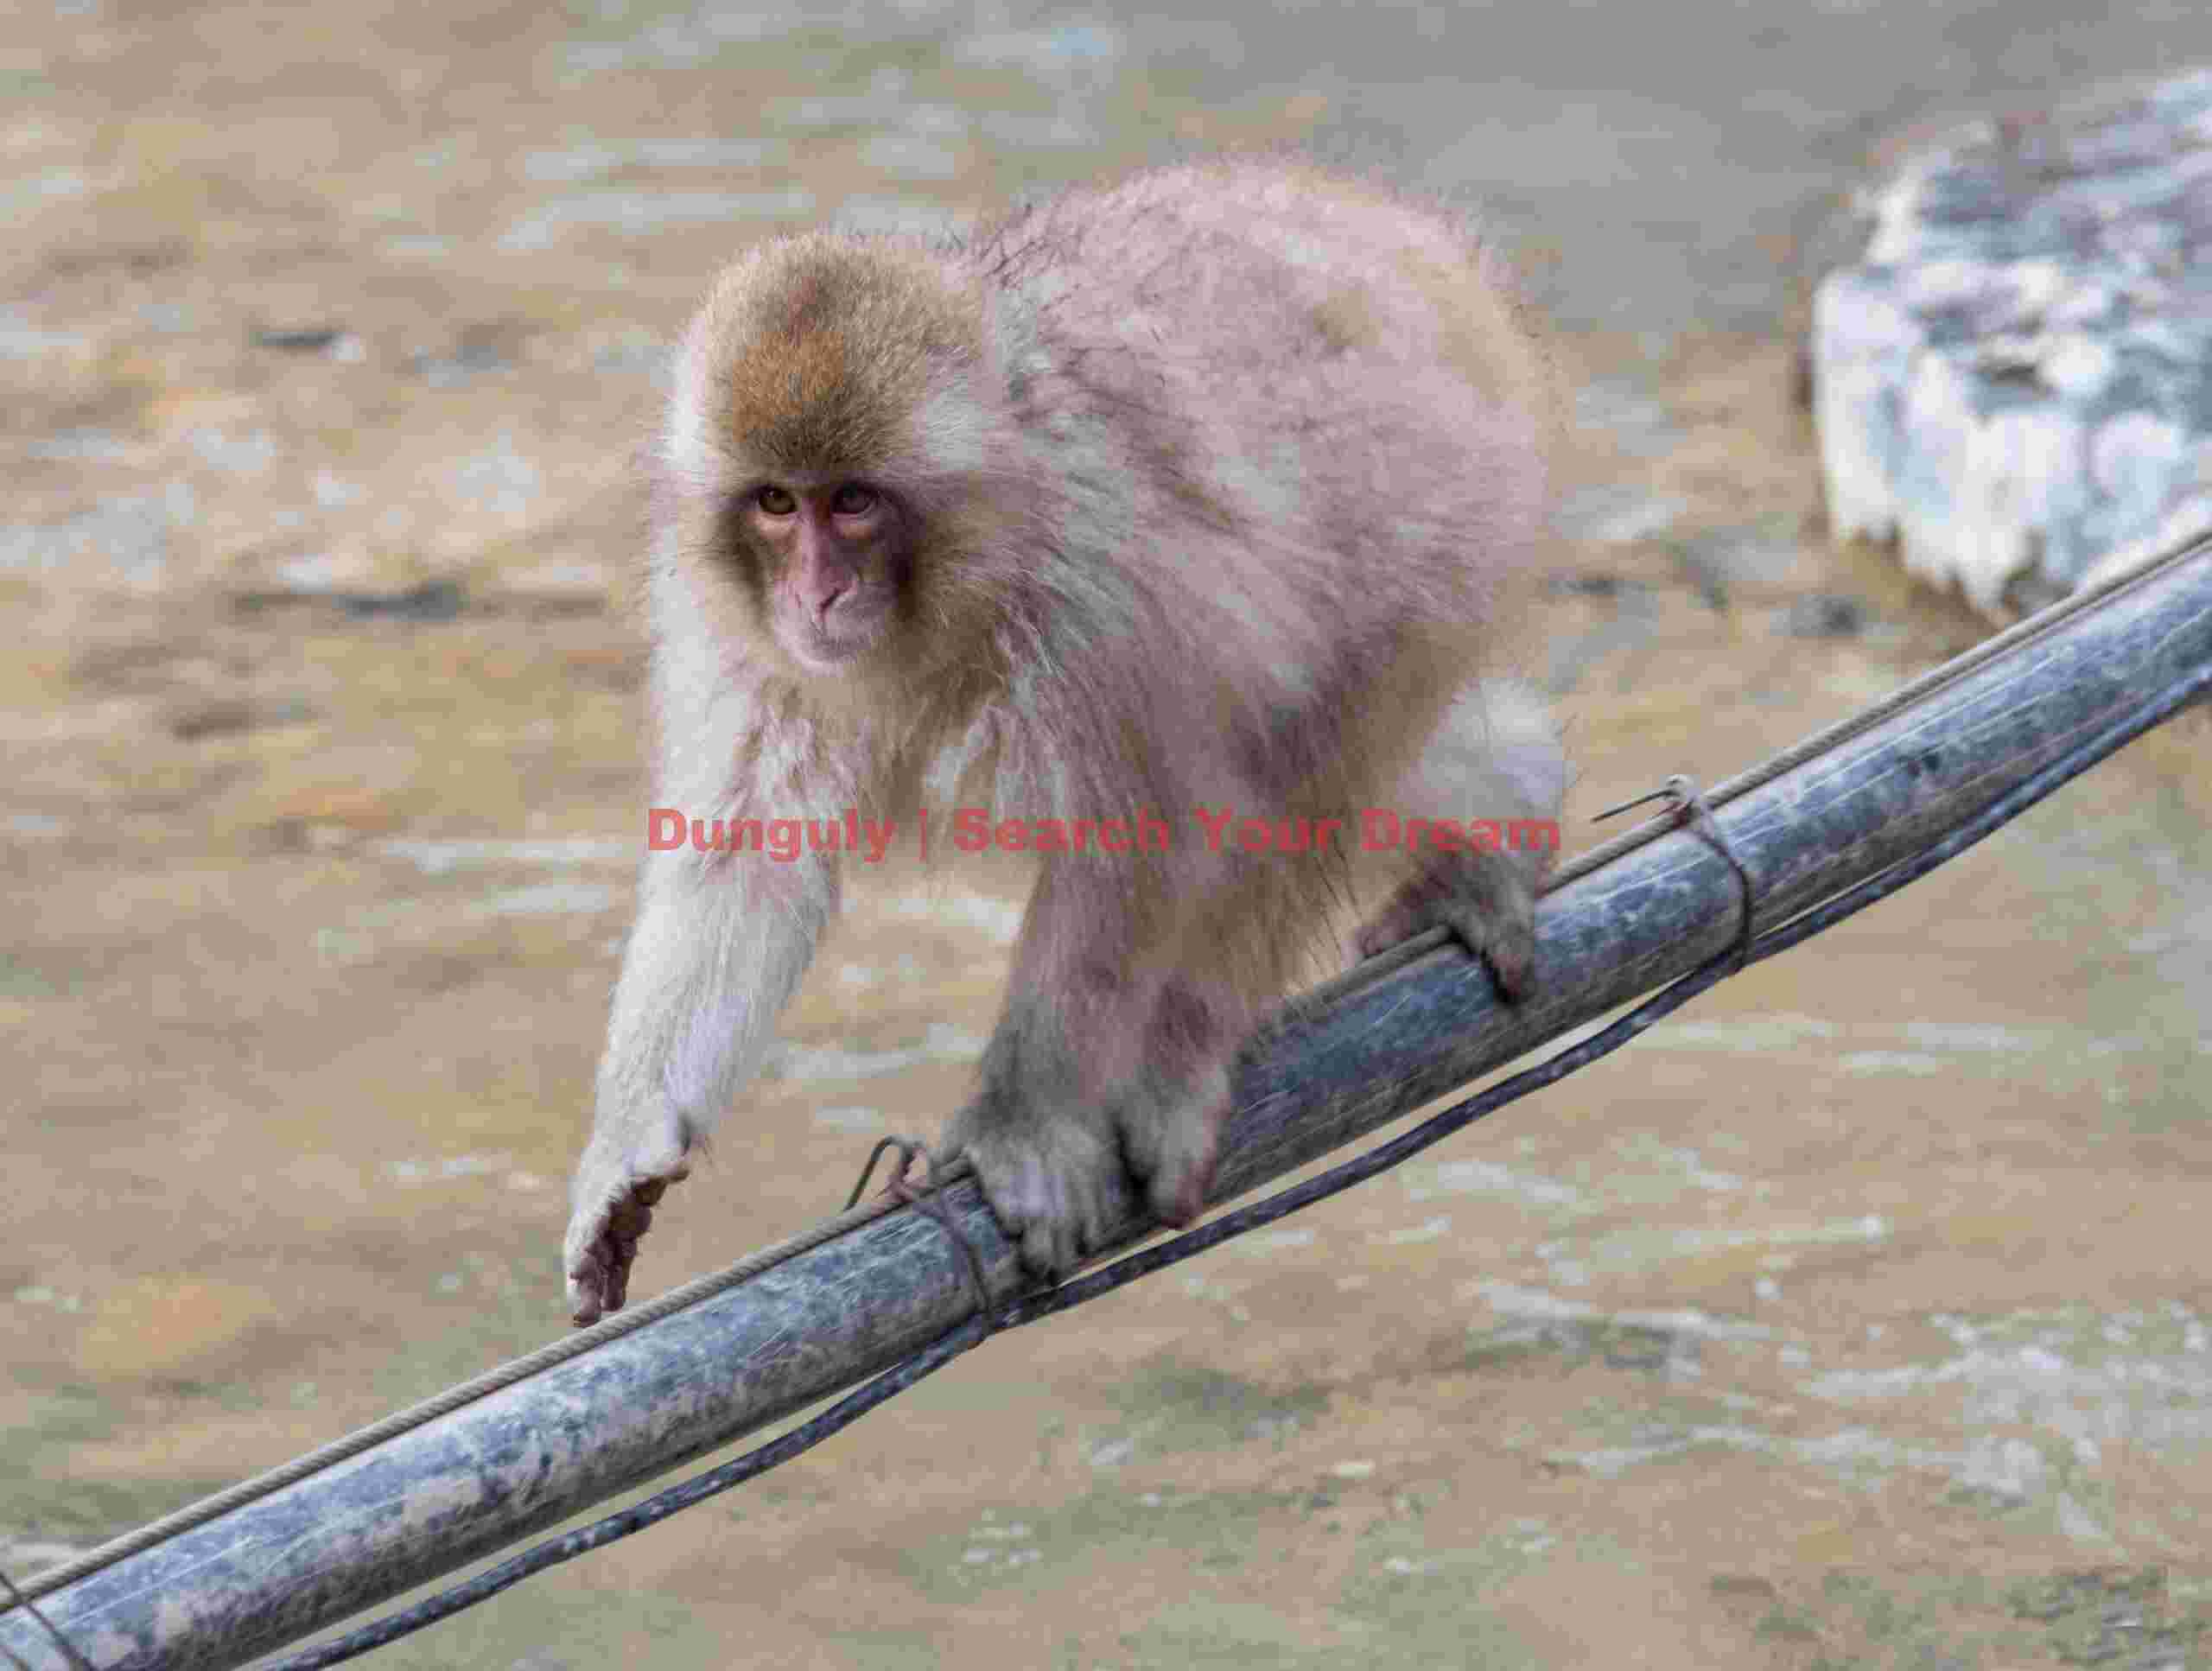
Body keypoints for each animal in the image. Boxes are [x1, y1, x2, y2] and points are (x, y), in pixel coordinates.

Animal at [563, 156, 1567, 1324]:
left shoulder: (1104, 586)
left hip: (1443, 514)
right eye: (775, 502)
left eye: (852, 501)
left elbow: (1146, 825)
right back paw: (1508, 804)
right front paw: (628, 1151)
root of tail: (1413, 236)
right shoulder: (738, 636)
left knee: (1298, 758)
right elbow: (741, 850)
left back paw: (1186, 1053)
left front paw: (1023, 1124)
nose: (817, 594)